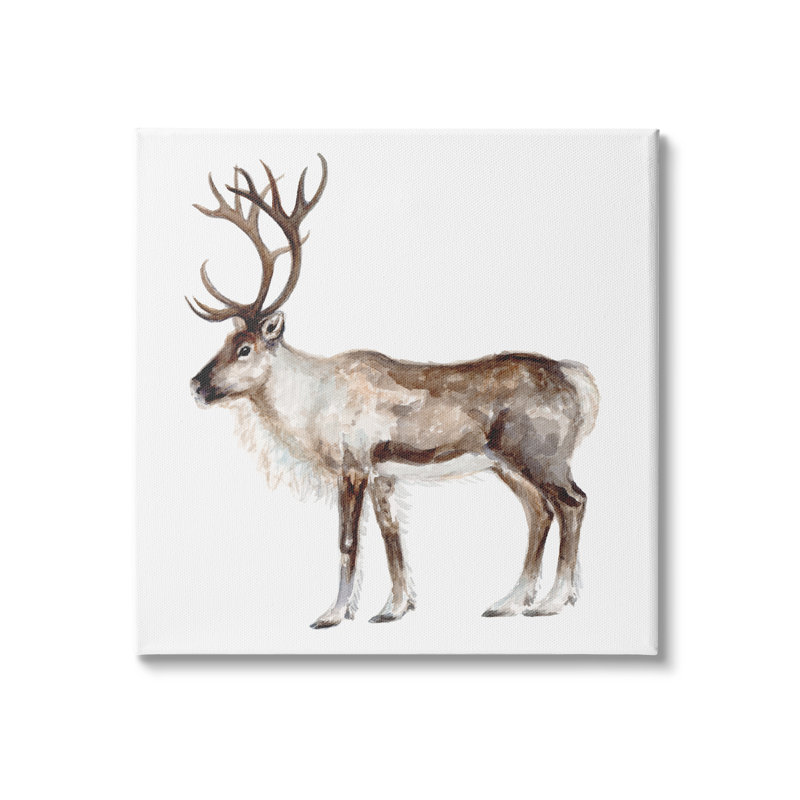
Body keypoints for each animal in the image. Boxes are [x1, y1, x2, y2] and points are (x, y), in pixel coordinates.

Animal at [187, 155, 599, 628]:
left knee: (573, 502)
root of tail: (579, 381)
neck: (313, 404)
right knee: (539, 512)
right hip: (506, 464)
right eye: (224, 342)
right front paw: (394, 608)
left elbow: (349, 541)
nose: (196, 385)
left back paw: (553, 600)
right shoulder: (384, 474)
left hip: (541, 455)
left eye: (244, 348)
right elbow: (391, 536)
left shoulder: (354, 463)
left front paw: (333, 614)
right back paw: (508, 601)